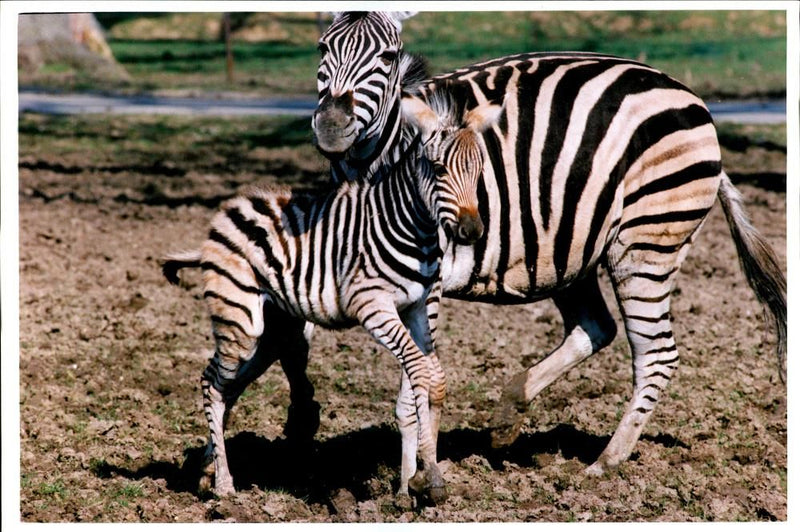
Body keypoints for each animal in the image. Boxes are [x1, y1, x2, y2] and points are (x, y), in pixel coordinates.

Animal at [161, 93, 500, 504]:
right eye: (437, 170)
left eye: (480, 171)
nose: (472, 231)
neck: (412, 228)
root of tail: (230, 207)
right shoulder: (373, 305)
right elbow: (420, 372)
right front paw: (427, 477)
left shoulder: (419, 308)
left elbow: (434, 378)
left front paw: (415, 482)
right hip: (239, 318)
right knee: (212, 382)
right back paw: (225, 485)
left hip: (274, 331)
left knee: (228, 386)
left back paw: (208, 472)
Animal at [308, 11, 788, 478]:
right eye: (322, 47)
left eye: (388, 56)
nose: (331, 127)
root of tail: (690, 97)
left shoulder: (427, 281)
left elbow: (415, 382)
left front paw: (417, 474)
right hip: (570, 250)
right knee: (597, 326)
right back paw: (510, 412)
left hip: (645, 243)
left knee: (657, 354)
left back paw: (605, 463)